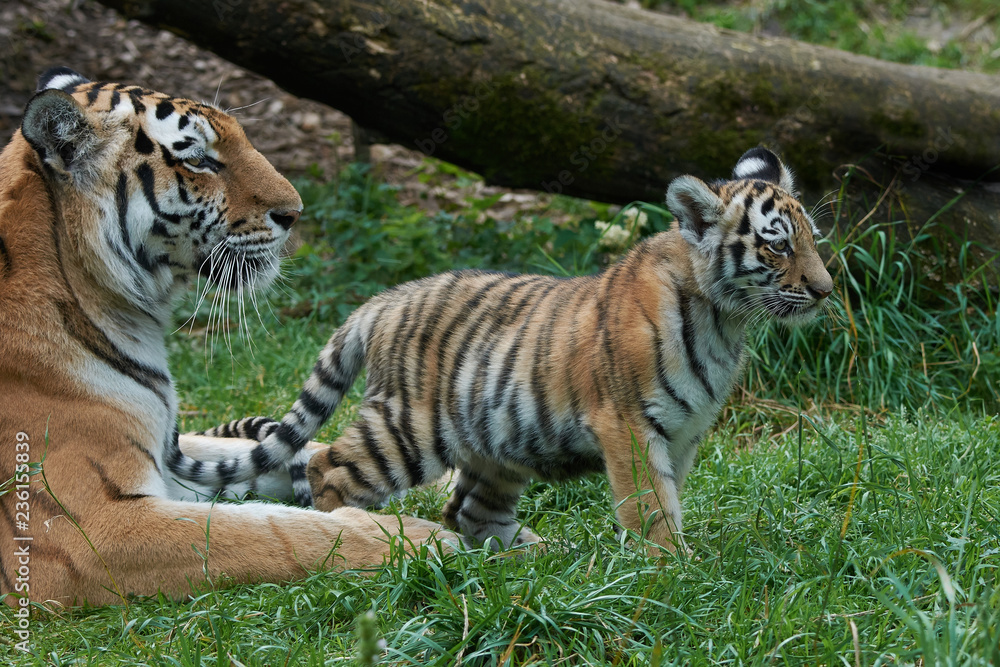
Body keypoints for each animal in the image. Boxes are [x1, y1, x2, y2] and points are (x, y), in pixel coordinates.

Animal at [0, 67, 451, 608]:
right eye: (198, 159)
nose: (295, 212)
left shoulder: (166, 446)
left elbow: (272, 454)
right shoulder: (84, 528)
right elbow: (274, 532)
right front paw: (429, 538)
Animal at [210, 147, 834, 553]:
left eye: (812, 239)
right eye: (778, 246)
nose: (826, 290)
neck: (723, 320)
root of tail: (384, 300)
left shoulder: (683, 432)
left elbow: (669, 498)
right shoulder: (629, 424)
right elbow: (651, 507)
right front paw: (670, 572)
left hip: (497, 442)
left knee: (466, 511)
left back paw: (540, 555)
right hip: (407, 429)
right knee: (327, 467)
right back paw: (352, 535)